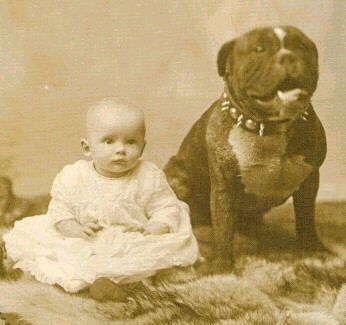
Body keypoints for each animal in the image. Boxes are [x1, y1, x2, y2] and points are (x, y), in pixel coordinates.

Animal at [165, 26, 328, 268]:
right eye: (259, 49)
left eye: (301, 46)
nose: (288, 56)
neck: (267, 127)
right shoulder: (225, 187)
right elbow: (223, 228)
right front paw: (223, 266)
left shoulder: (309, 180)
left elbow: (306, 219)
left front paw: (313, 249)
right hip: (177, 176)